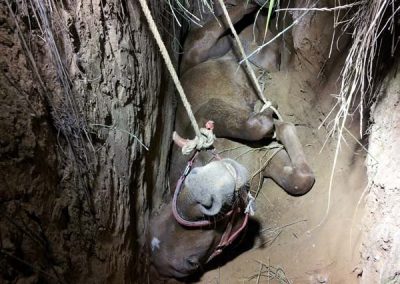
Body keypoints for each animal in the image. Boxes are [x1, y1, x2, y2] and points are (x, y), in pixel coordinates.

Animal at [148, 0, 314, 280]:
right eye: (191, 263)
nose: (210, 189)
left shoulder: (206, 113)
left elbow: (255, 125)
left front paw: (268, 113)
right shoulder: (267, 160)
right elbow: (299, 181)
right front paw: (280, 125)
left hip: (204, 45)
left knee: (230, 19)